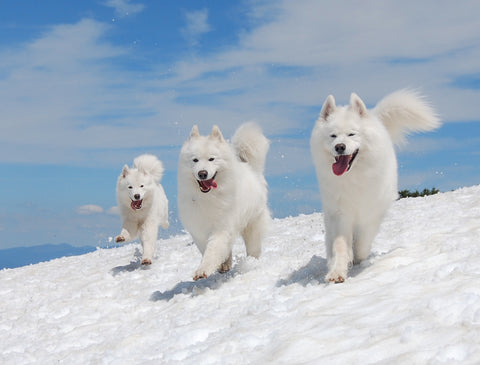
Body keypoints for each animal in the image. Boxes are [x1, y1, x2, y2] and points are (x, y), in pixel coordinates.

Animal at [178, 122, 272, 278]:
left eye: (211, 159)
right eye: (195, 160)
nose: (202, 173)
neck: (208, 197)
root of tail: (250, 167)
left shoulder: (221, 227)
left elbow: (212, 251)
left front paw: (203, 270)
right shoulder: (198, 229)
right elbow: (208, 249)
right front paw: (222, 263)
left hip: (252, 224)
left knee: (253, 247)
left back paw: (251, 263)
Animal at [310, 89, 440, 282]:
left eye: (351, 134)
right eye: (333, 136)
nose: (339, 147)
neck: (354, 176)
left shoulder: (372, 211)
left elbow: (363, 241)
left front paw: (358, 256)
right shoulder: (340, 213)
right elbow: (340, 245)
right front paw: (337, 271)